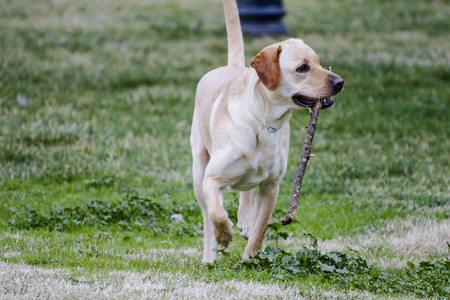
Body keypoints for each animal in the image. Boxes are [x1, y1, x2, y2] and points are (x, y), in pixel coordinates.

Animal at [191, 0, 344, 262]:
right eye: (302, 68)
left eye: (319, 62)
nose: (340, 82)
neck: (264, 123)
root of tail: (231, 67)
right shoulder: (212, 179)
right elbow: (217, 214)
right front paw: (225, 235)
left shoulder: (271, 186)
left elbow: (259, 231)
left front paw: (249, 260)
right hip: (198, 168)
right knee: (207, 215)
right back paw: (209, 256)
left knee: (246, 192)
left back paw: (244, 220)